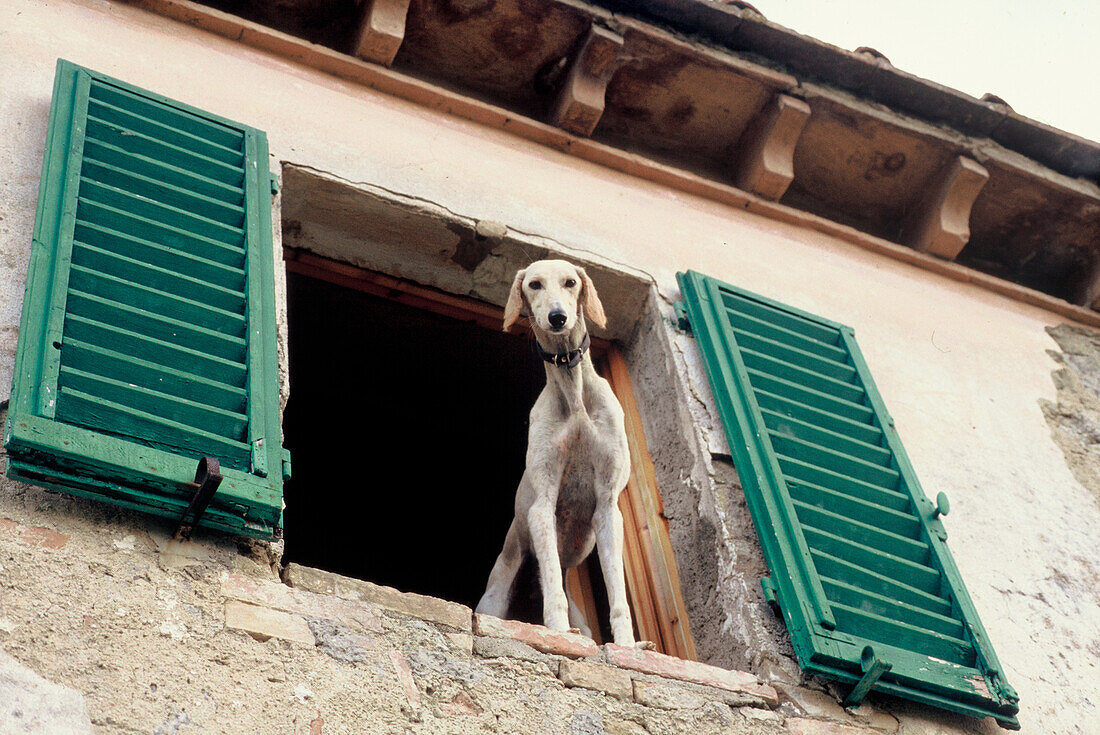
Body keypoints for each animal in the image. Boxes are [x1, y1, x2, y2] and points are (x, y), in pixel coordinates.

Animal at [473, 258, 638, 642]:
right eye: (534, 284)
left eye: (570, 282)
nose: (558, 316)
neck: (574, 396)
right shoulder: (542, 504)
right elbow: (552, 585)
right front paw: (559, 632)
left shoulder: (608, 506)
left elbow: (618, 596)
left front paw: (628, 646)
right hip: (495, 599)